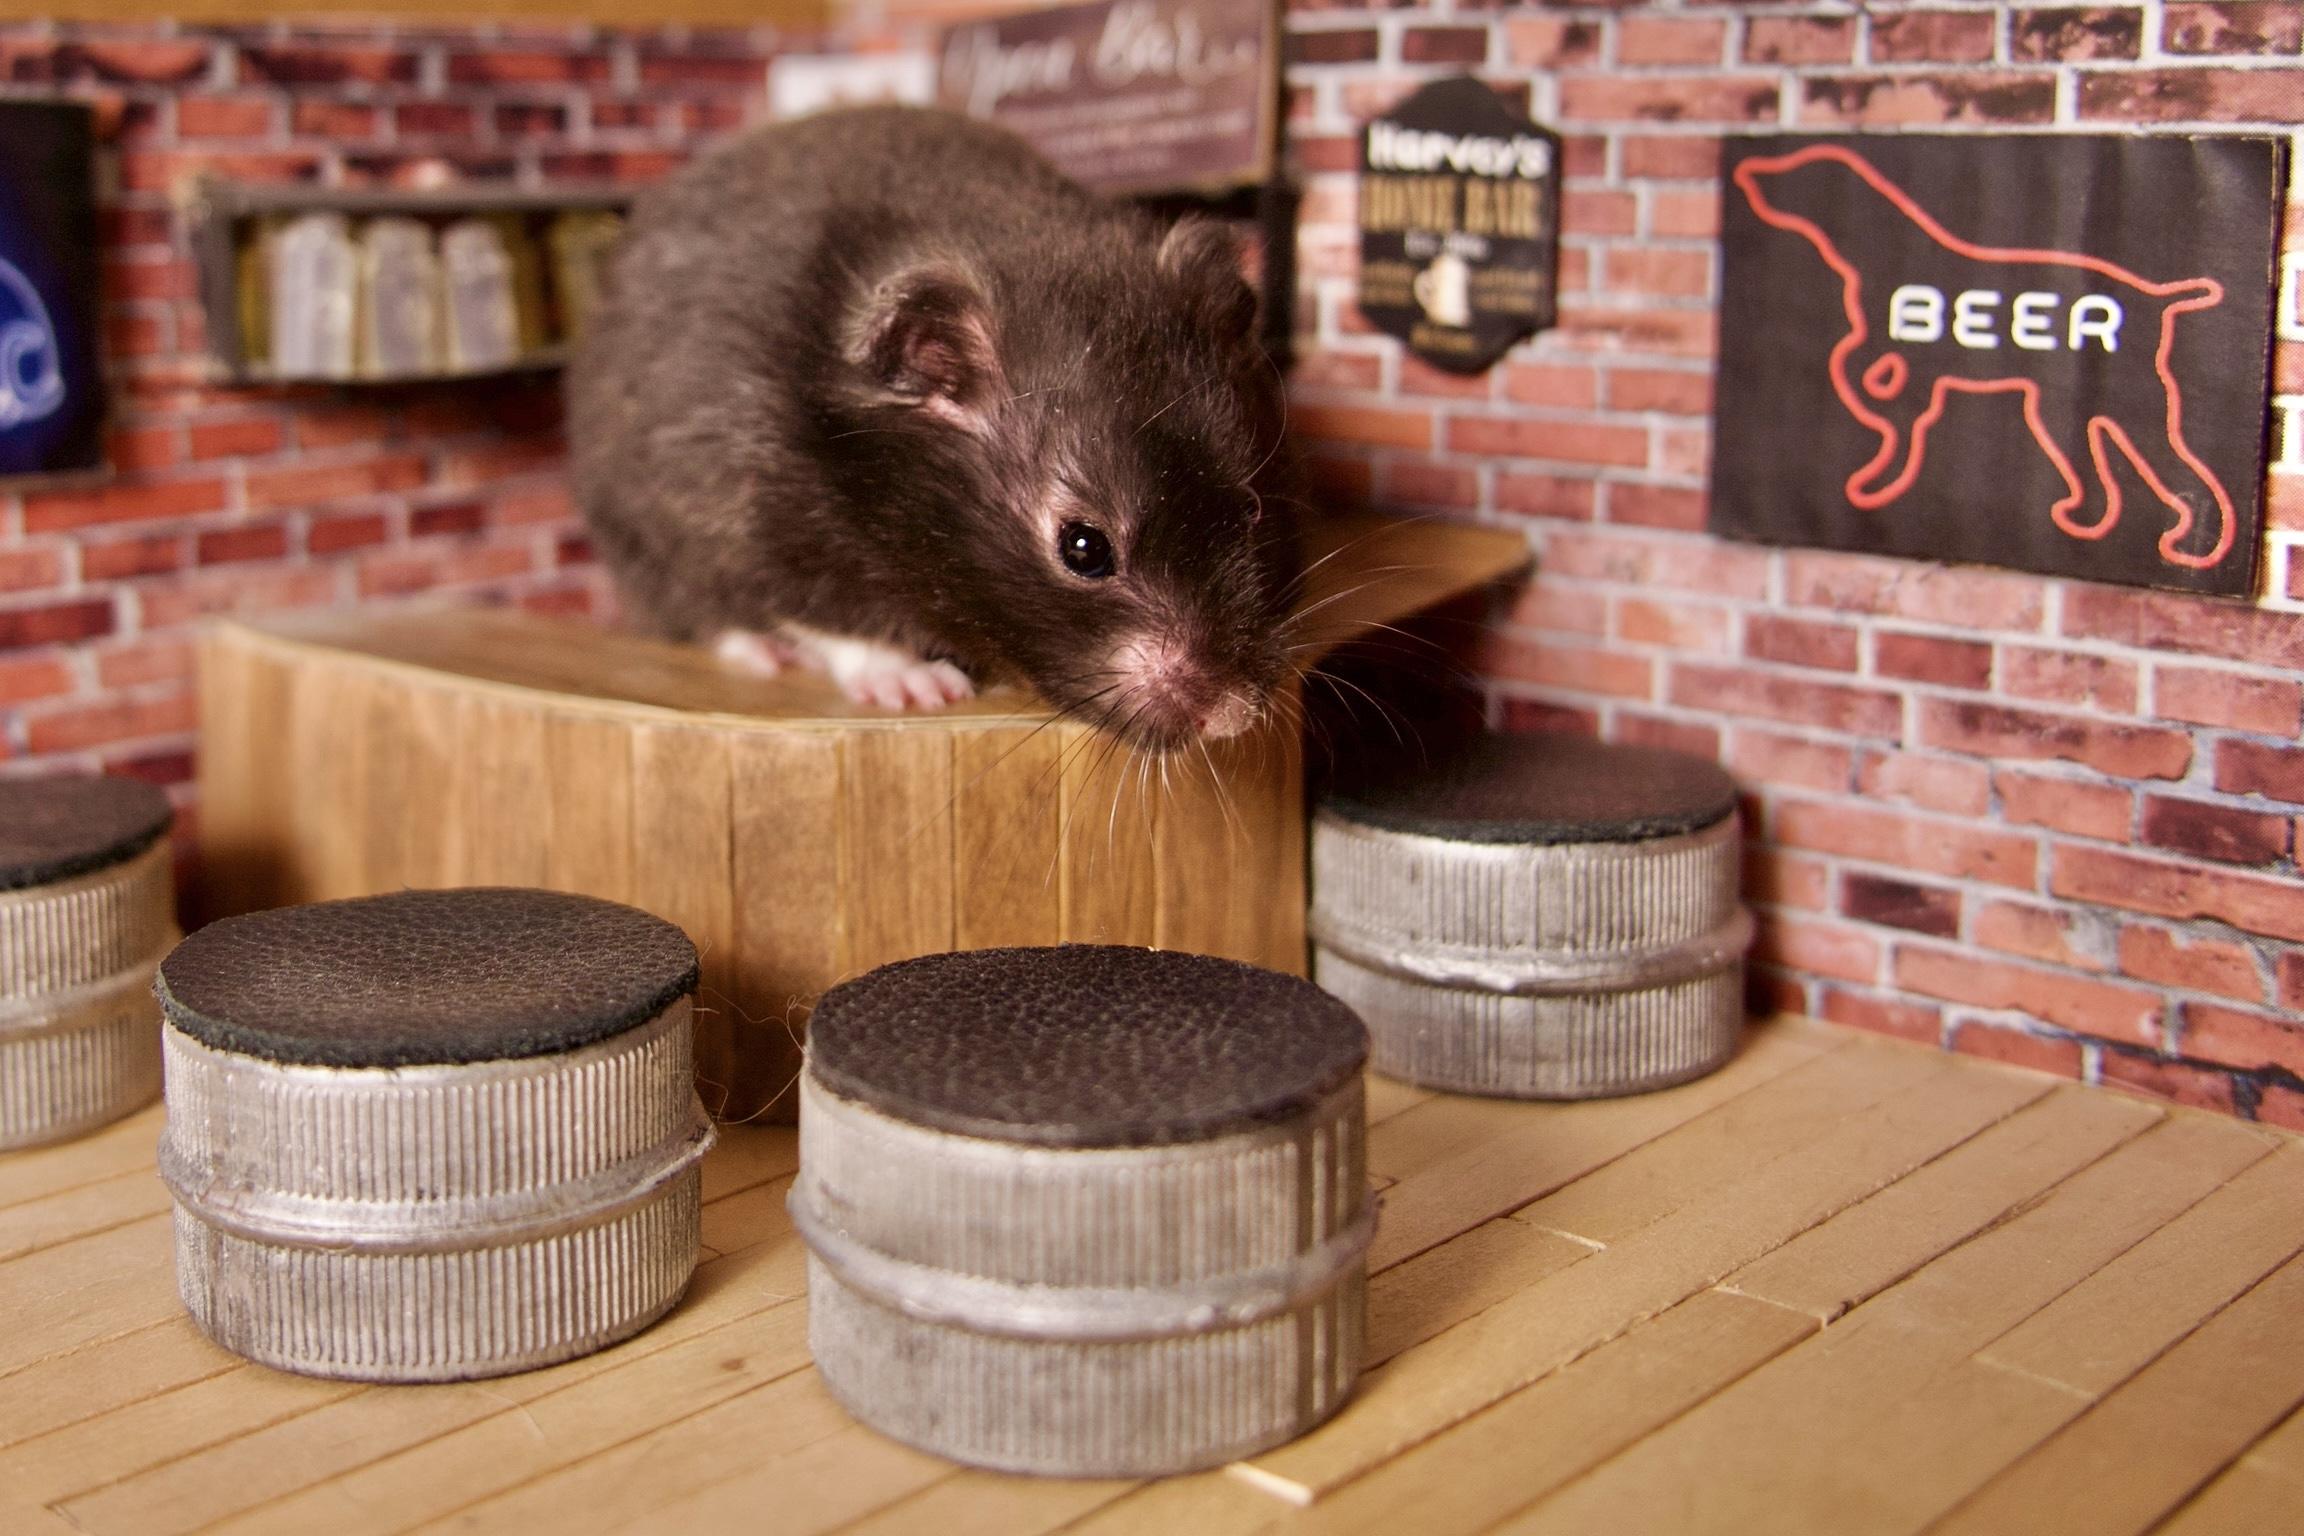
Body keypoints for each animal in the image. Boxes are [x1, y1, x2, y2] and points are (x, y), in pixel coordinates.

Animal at [567, 106, 1299, 752]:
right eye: (1084, 549)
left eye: (1252, 509)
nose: (1232, 717)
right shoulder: (747, 520)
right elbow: (834, 618)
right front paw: (923, 688)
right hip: (642, 544)